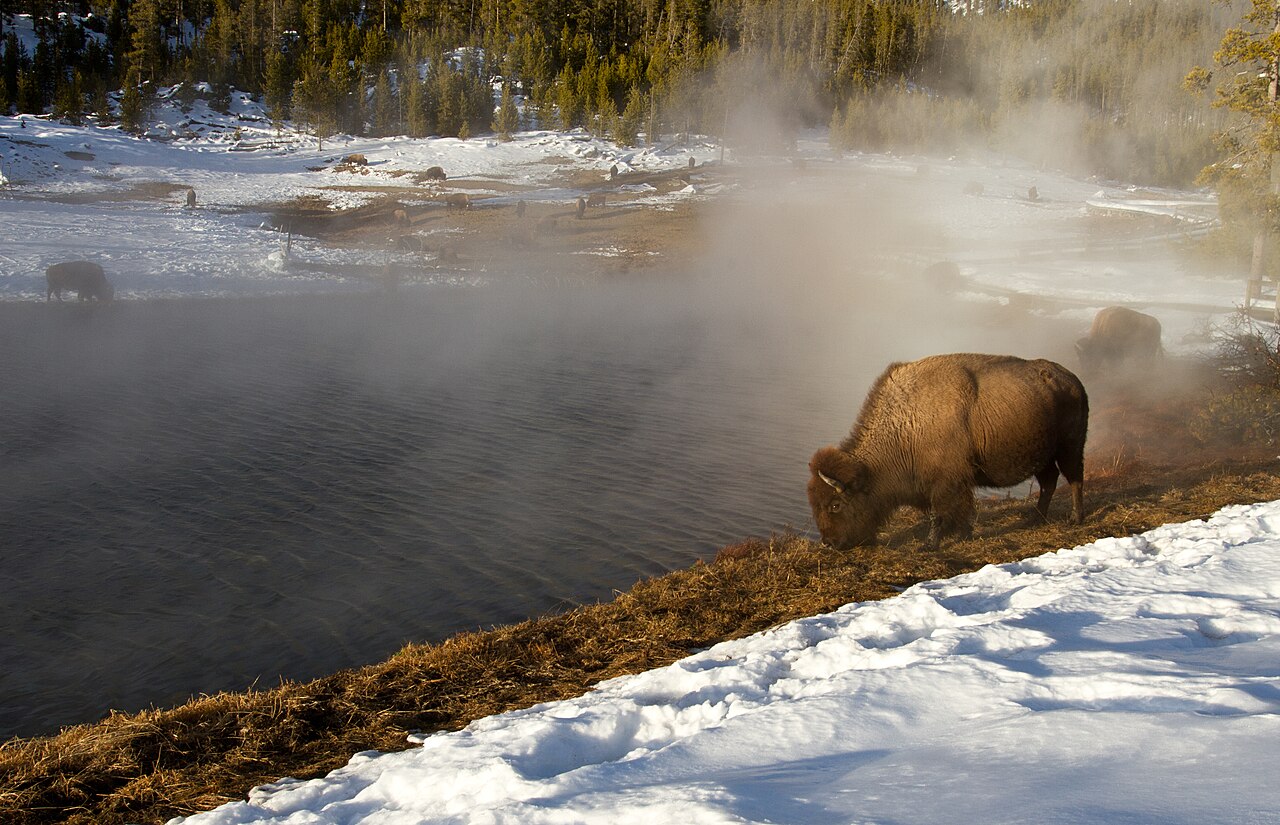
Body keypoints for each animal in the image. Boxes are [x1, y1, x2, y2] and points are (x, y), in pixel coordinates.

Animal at [807, 353, 1088, 550]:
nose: (829, 543)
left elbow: (939, 514)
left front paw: (929, 545)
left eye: (835, 505)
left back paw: (1075, 518)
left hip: (1070, 448)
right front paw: (964, 535)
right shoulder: (954, 483)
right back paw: (1035, 518)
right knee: (1049, 482)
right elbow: (961, 510)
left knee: (1074, 479)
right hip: (1043, 457)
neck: (907, 425)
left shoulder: (945, 481)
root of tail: (1073, 380)